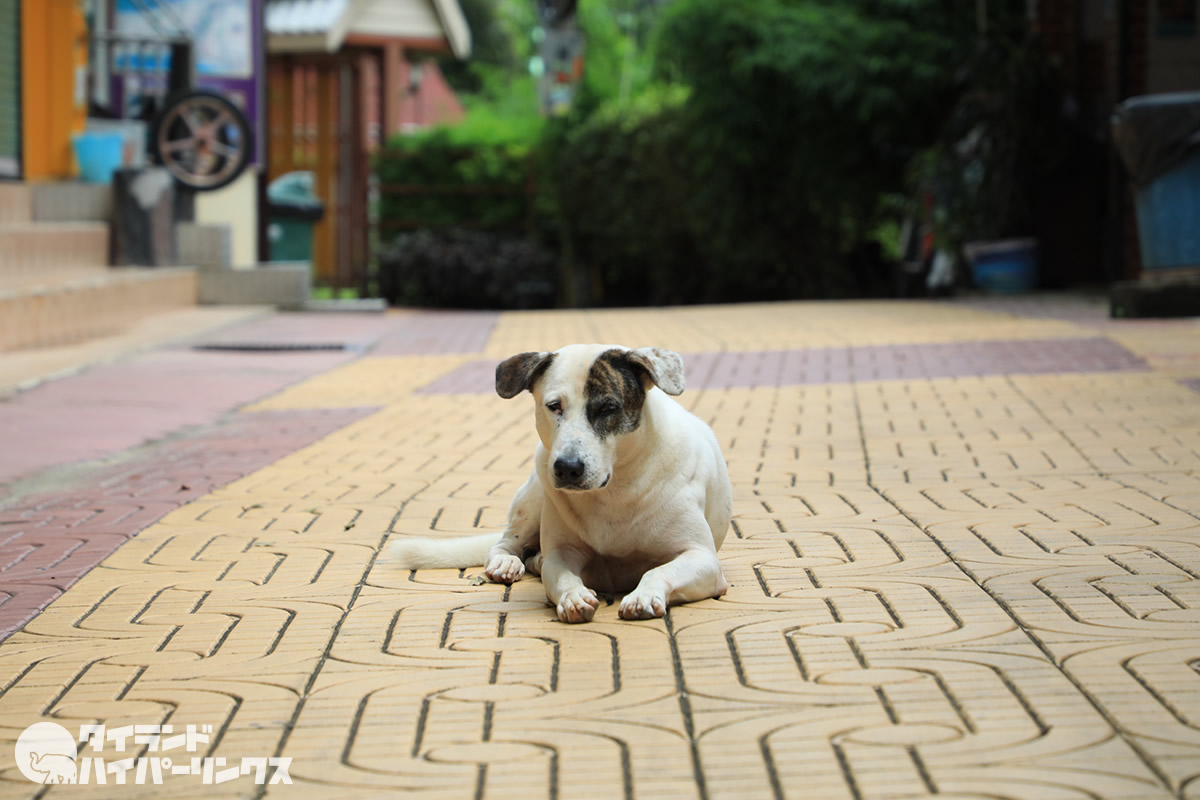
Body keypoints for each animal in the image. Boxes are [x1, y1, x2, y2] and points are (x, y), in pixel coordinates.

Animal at [391, 345, 729, 623]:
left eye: (608, 408)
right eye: (554, 406)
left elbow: (660, 570)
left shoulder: (703, 559)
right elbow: (562, 575)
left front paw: (644, 595)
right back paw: (507, 563)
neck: (613, 491)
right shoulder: (562, 554)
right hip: (535, 493)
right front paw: (574, 596)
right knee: (506, 542)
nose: (567, 468)